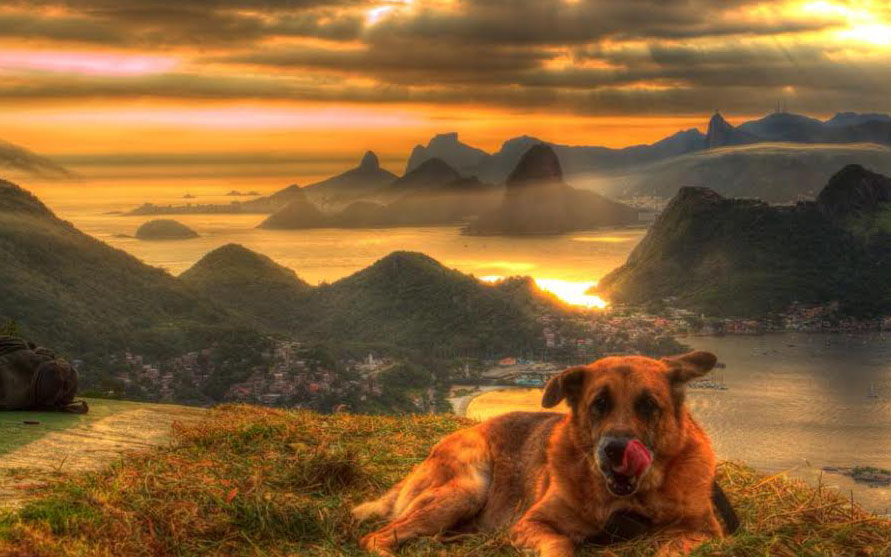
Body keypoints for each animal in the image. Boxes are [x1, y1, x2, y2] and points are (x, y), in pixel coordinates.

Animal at [352, 350, 736, 552]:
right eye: (599, 404)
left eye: (648, 406)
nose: (616, 450)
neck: (629, 501)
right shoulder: (532, 523)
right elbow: (560, 545)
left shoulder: (702, 532)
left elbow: (672, 547)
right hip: (465, 489)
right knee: (375, 538)